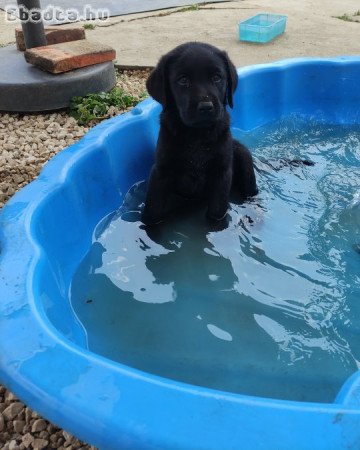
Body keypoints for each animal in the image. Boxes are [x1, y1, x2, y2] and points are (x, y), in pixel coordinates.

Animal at [142, 42, 258, 225]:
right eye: (183, 80)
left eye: (217, 77)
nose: (206, 107)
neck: (197, 136)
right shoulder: (161, 171)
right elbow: (152, 211)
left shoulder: (221, 172)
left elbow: (216, 212)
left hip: (244, 157)